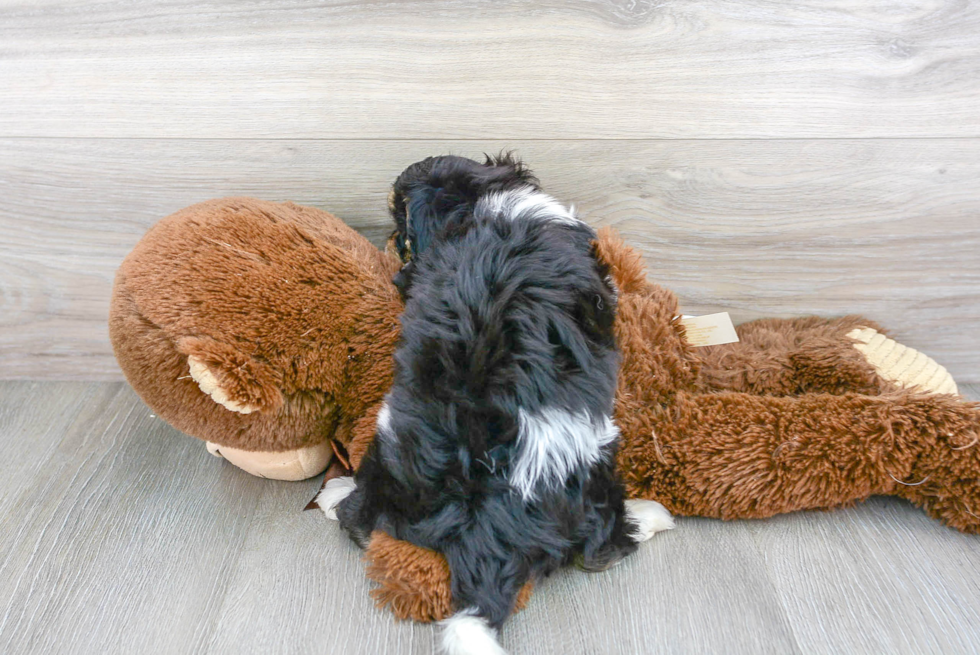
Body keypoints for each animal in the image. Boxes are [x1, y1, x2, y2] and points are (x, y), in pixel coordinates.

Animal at [322, 155, 672, 655]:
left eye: (403, 231)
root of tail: (492, 521)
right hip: (596, 469)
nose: (388, 241)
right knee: (606, 541)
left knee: (366, 517)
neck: (483, 202)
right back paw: (648, 516)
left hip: (394, 455)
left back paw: (336, 496)